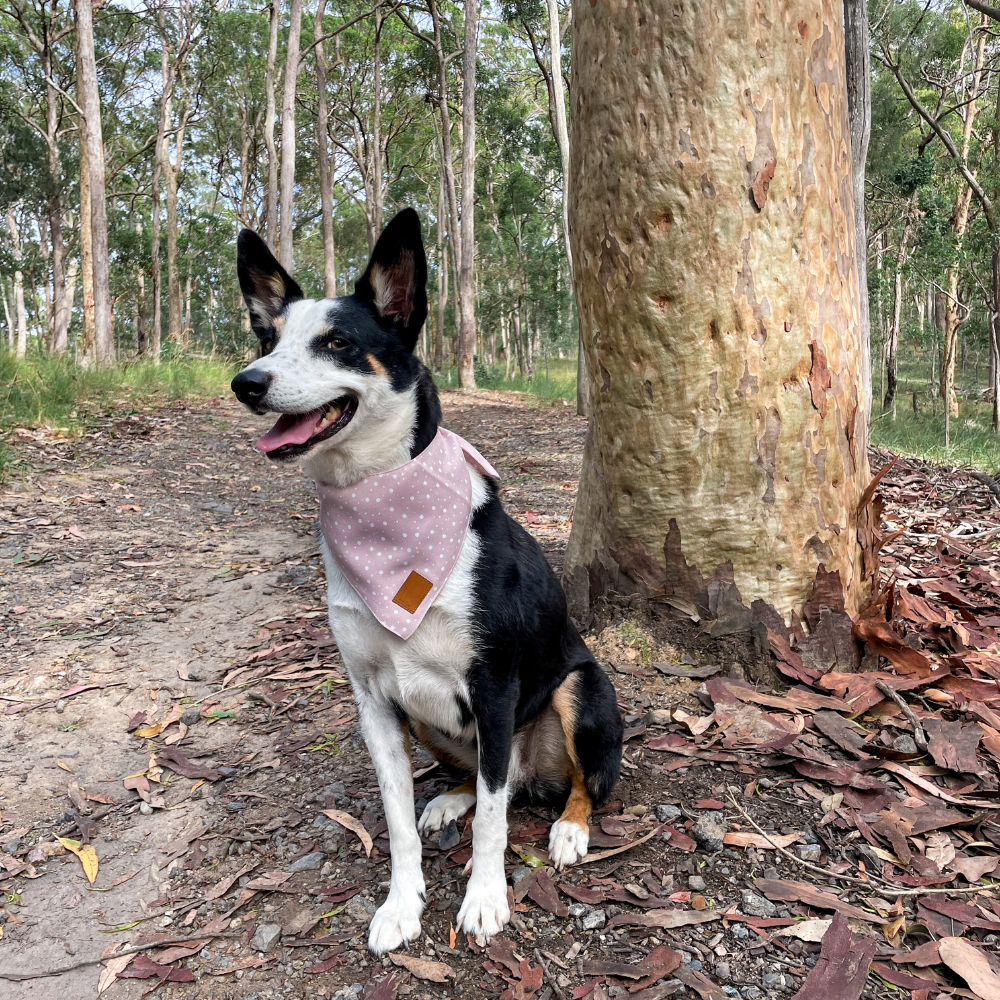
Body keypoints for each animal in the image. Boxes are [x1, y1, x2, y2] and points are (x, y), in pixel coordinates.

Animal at [232, 209, 624, 952]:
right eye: (268, 338)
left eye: (337, 342)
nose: (248, 382)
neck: (383, 506)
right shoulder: (376, 703)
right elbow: (396, 818)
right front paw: (401, 904)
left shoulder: (494, 689)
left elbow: (495, 823)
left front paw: (485, 899)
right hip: (431, 723)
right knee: (484, 781)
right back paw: (450, 799)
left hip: (578, 691)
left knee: (572, 784)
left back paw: (568, 828)